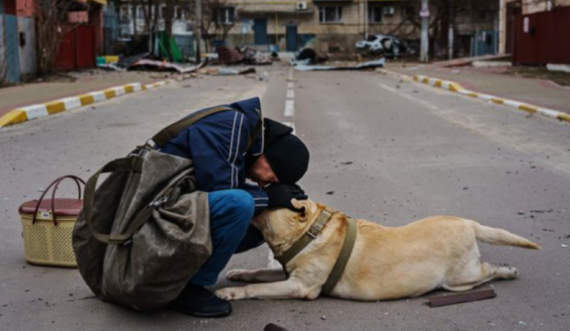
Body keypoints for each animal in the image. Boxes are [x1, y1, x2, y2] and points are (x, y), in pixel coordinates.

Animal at [215, 201, 540, 302]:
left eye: (269, 199)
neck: (309, 234)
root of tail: (468, 222)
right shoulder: (288, 272)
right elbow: (259, 273)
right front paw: (239, 273)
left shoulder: (300, 286)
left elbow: (259, 288)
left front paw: (231, 292)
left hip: (460, 278)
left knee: (488, 271)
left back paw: (507, 271)